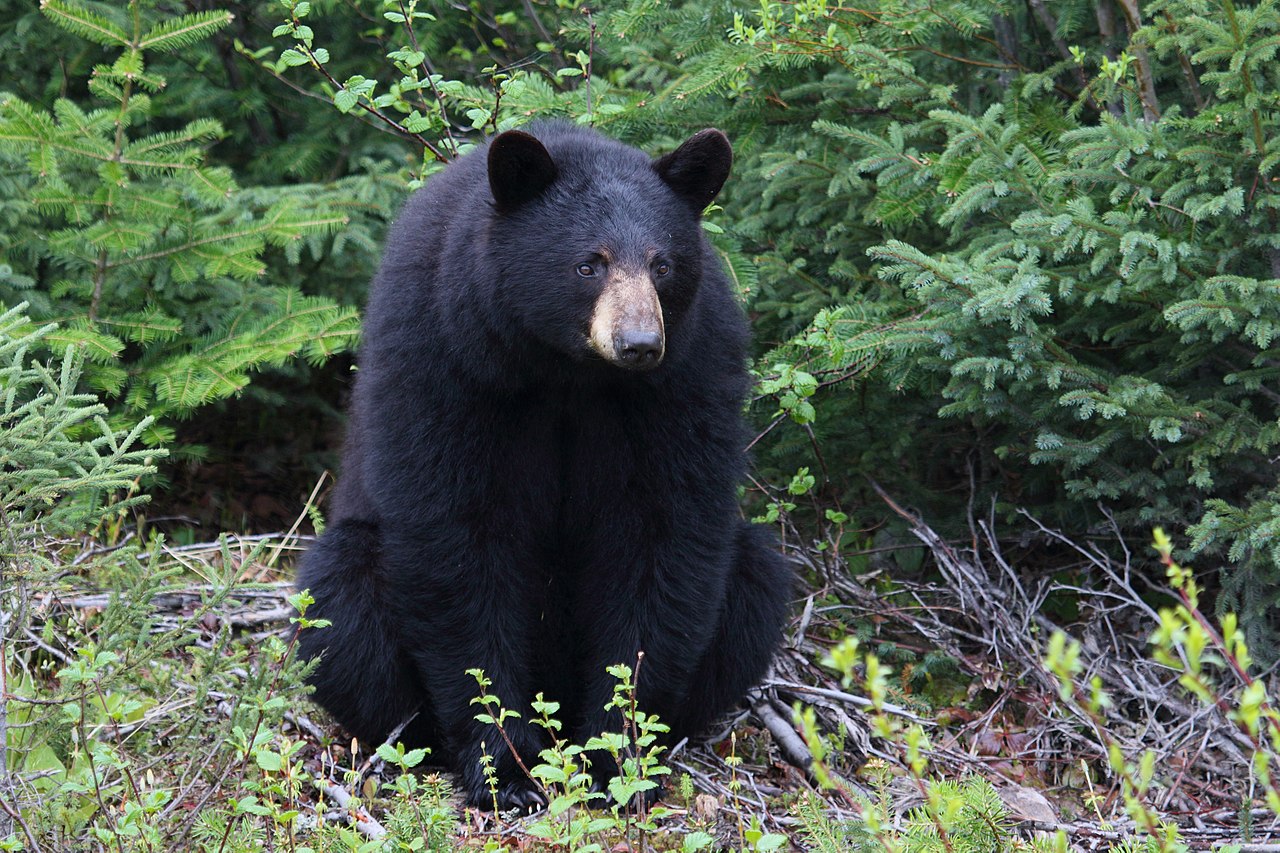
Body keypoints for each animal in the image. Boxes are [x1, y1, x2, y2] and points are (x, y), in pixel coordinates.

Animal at [298, 117, 793, 804]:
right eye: (589, 264)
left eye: (662, 264)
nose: (640, 344)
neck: (566, 371)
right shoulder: (443, 354)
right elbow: (459, 538)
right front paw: (506, 768)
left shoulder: (689, 371)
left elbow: (660, 536)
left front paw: (613, 758)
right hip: (349, 579)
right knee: (340, 605)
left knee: (753, 579)